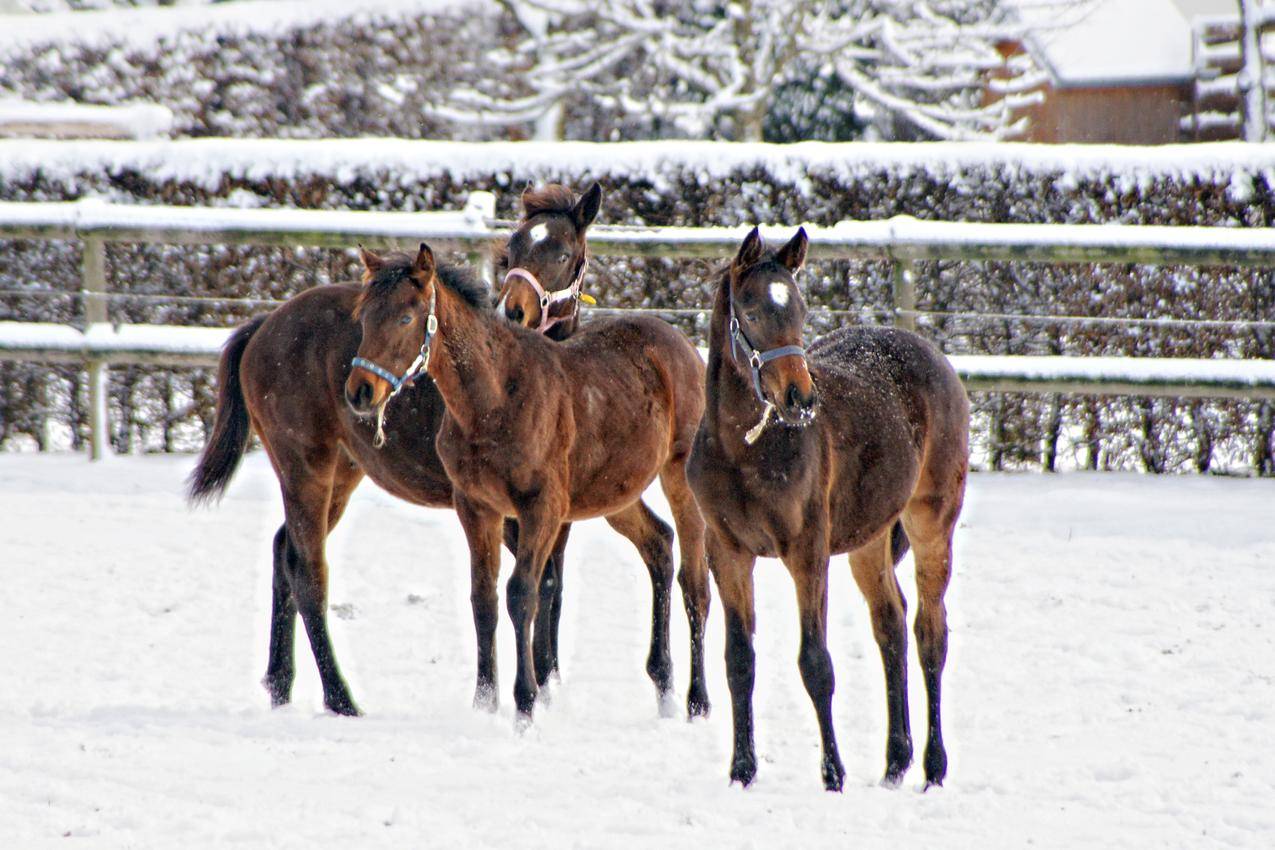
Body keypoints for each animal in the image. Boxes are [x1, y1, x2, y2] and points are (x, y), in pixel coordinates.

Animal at [186, 186, 604, 718]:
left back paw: (280, 685)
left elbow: (551, 588)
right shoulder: (503, 510)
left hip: (343, 473)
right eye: (512, 247)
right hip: (305, 468)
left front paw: (547, 684)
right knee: (308, 572)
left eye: (563, 253)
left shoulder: (555, 512)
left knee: (285, 551)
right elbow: (519, 591)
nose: (515, 309)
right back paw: (340, 698)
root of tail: (263, 325)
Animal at [344, 242, 714, 723]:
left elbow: (522, 594)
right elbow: (483, 599)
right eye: (364, 317)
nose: (360, 392)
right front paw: (484, 703)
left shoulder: (542, 508)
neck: (495, 398)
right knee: (659, 544)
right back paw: (664, 686)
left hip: (677, 477)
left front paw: (525, 704)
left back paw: (697, 701)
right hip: (613, 491)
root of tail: (683, 345)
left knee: (695, 581)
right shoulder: (476, 507)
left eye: (406, 318)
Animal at [688, 225, 963, 790]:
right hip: (870, 538)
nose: (800, 398)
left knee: (930, 632)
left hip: (931, 524)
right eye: (751, 312)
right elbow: (738, 661)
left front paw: (832, 774)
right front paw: (742, 770)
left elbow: (816, 664)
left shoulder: (807, 554)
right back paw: (895, 762)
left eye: (799, 309)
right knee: (890, 624)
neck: (743, 449)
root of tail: (931, 355)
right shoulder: (726, 552)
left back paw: (932, 767)